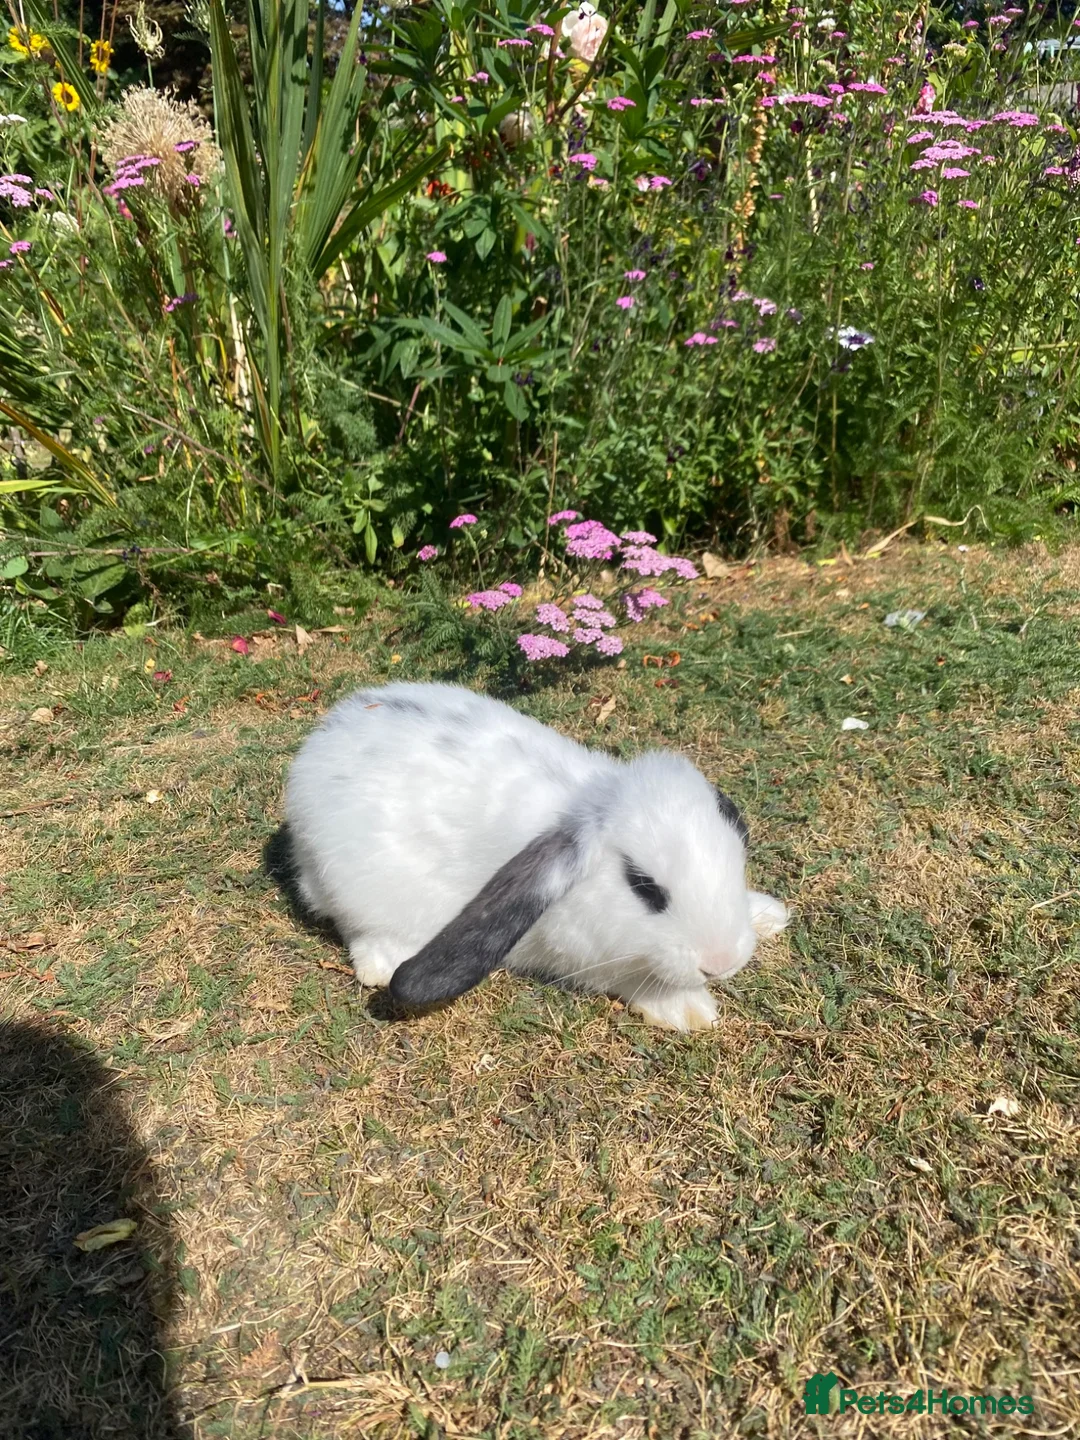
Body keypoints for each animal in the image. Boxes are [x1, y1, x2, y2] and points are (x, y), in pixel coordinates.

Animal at [283, 681, 789, 1032]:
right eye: (643, 886)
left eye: (736, 862)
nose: (721, 963)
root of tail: (324, 740)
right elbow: (631, 978)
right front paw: (689, 1008)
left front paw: (768, 914)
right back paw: (383, 962)